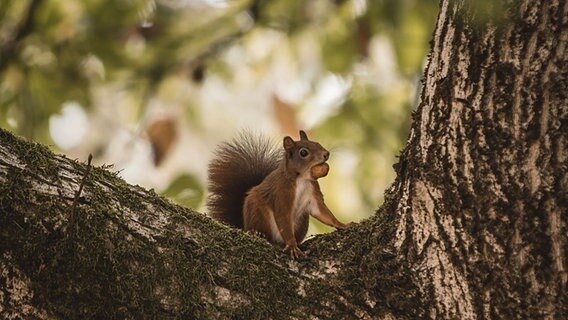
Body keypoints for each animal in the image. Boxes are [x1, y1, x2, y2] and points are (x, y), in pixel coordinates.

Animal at [207, 129, 348, 258]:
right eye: (303, 152)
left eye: (317, 143)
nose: (326, 154)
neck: (302, 179)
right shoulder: (282, 193)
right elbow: (283, 218)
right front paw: (292, 246)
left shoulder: (313, 193)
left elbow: (323, 213)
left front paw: (342, 225)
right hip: (257, 213)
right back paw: (257, 233)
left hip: (302, 220)